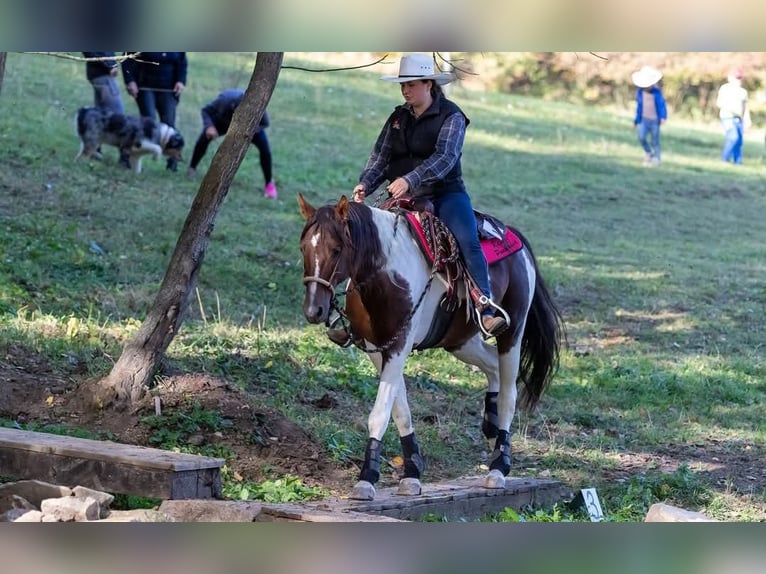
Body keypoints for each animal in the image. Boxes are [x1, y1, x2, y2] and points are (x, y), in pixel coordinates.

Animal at [298, 193, 564, 501]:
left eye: (337, 249)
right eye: (303, 247)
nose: (314, 310)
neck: (385, 271)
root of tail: (513, 236)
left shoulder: (399, 345)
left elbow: (380, 413)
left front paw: (366, 479)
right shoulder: (379, 348)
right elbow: (400, 409)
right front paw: (412, 473)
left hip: (513, 332)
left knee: (509, 393)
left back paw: (499, 467)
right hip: (460, 341)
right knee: (493, 368)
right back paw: (492, 430)